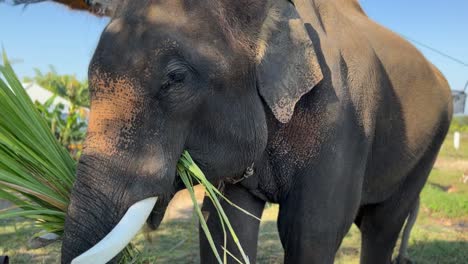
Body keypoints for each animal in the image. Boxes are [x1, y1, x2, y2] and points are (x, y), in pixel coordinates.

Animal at [59, 0, 454, 264]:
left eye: (176, 78)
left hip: (430, 144)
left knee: (381, 226)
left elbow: (311, 232)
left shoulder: (343, 120)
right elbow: (227, 225)